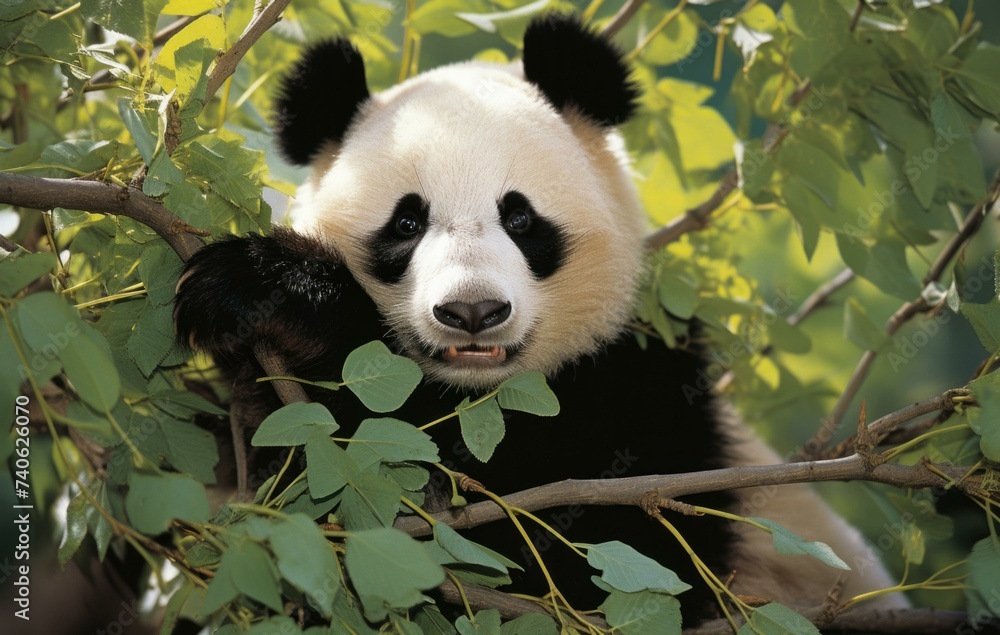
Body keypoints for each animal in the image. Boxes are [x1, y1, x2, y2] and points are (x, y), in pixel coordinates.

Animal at [173, 14, 902, 625]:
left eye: (520, 217)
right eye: (407, 222)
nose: (472, 311)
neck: (482, 404)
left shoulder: (645, 400)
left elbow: (588, 556)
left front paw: (282, 293)